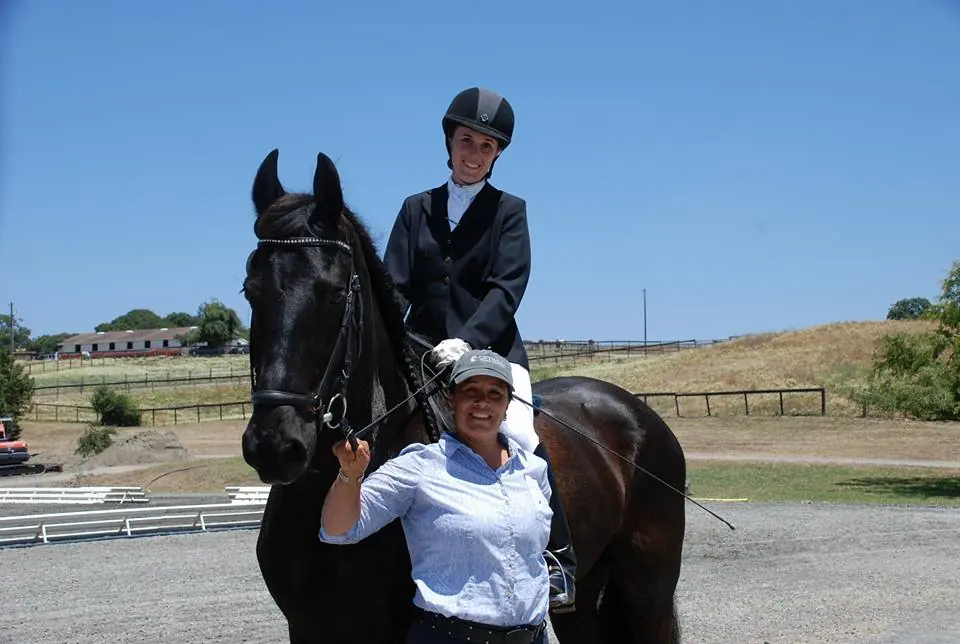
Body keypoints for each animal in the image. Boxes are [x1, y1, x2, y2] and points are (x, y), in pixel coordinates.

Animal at [240, 148, 688, 643]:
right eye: (250, 291)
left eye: (336, 293)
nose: (274, 445)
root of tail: (634, 409)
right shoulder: (307, 627)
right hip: (587, 597)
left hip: (648, 589)